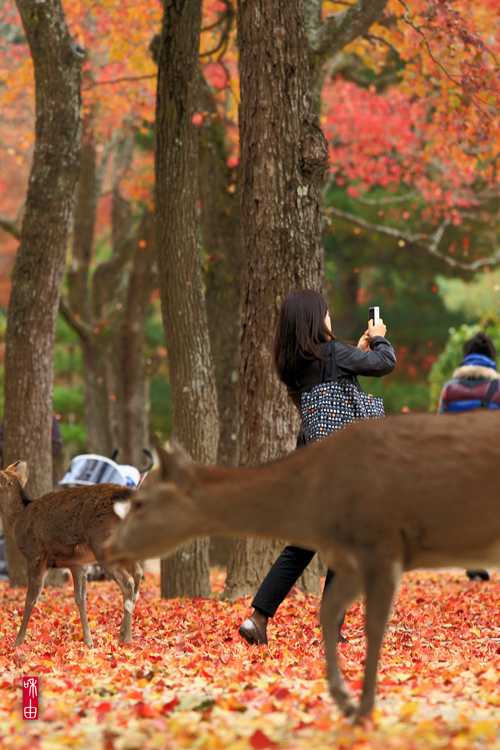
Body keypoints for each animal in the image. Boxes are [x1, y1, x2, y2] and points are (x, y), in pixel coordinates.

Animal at [0, 462, 142, 648]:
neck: (17, 520)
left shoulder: (34, 556)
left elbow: (30, 599)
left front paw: (18, 641)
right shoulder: (77, 563)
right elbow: (80, 598)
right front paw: (88, 641)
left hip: (102, 542)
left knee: (128, 581)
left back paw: (126, 638)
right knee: (138, 572)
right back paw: (124, 631)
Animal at [105, 412, 500, 724]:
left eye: (139, 502)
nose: (109, 547)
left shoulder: (382, 544)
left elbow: (373, 627)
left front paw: (363, 709)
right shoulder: (350, 557)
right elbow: (327, 612)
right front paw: (344, 699)